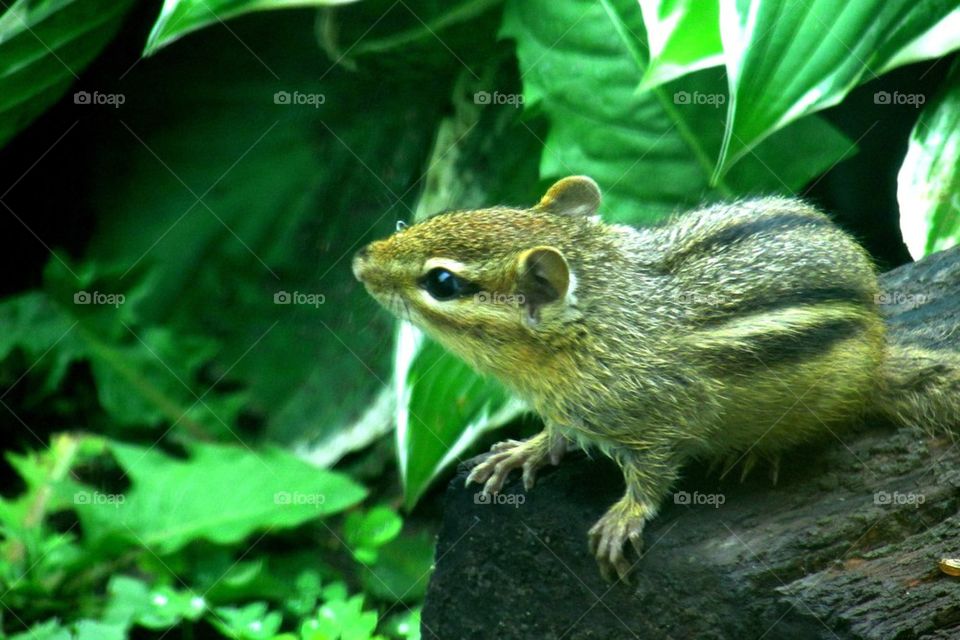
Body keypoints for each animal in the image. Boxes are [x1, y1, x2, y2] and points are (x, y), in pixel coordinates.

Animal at [352, 175, 960, 582]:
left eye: (442, 282)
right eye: (443, 215)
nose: (361, 262)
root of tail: (879, 349)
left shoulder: (663, 416)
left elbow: (654, 472)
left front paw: (624, 516)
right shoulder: (564, 406)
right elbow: (557, 432)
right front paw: (525, 450)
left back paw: (757, 453)